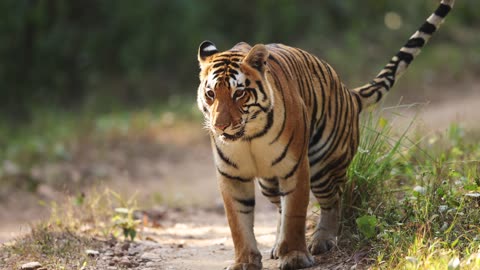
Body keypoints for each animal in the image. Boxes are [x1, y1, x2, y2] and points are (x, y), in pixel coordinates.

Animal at [195, 1, 454, 268]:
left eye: (239, 93)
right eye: (211, 94)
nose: (220, 126)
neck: (249, 139)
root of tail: (348, 92)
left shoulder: (295, 168)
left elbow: (295, 214)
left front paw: (295, 256)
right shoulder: (231, 176)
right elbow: (239, 223)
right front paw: (245, 261)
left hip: (322, 163)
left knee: (333, 201)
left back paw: (322, 240)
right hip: (269, 181)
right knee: (281, 208)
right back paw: (278, 245)